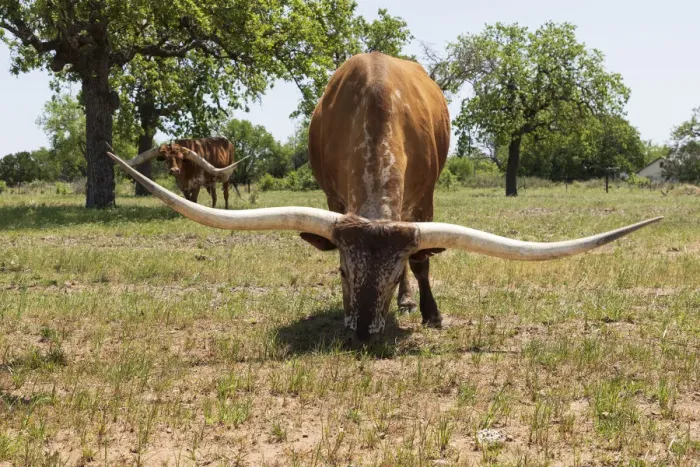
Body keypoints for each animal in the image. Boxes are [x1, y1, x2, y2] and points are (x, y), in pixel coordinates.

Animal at [108, 52, 662, 343]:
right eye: (345, 270)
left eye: (391, 272)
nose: (361, 331)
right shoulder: (335, 198)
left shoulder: (425, 200)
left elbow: (423, 261)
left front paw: (428, 310)